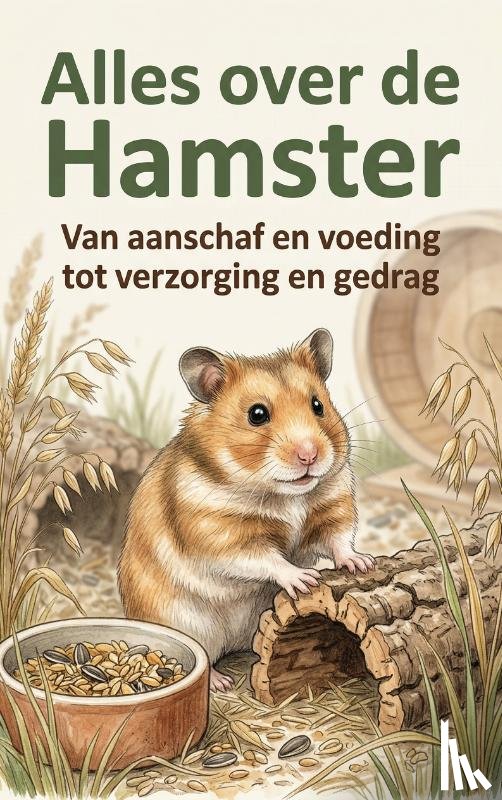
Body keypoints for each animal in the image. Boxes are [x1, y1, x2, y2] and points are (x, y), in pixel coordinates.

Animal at [118, 329, 374, 691]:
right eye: (257, 414)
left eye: (318, 405)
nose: (310, 455)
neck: (286, 495)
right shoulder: (218, 533)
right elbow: (264, 558)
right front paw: (304, 580)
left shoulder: (333, 504)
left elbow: (338, 539)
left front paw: (362, 563)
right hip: (185, 622)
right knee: (203, 656)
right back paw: (220, 683)